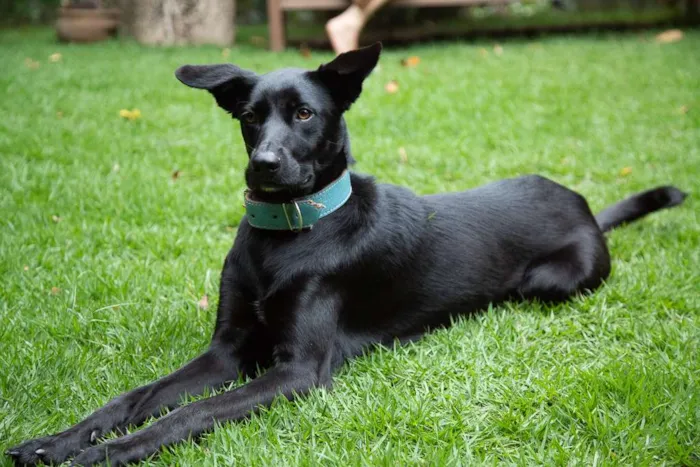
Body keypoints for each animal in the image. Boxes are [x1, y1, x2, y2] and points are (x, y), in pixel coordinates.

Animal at [6, 42, 684, 466]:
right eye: (249, 117)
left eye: (305, 113)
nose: (264, 164)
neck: (286, 236)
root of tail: (585, 206)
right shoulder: (226, 352)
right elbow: (137, 398)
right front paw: (58, 442)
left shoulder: (298, 372)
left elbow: (186, 417)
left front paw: (104, 454)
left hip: (550, 283)